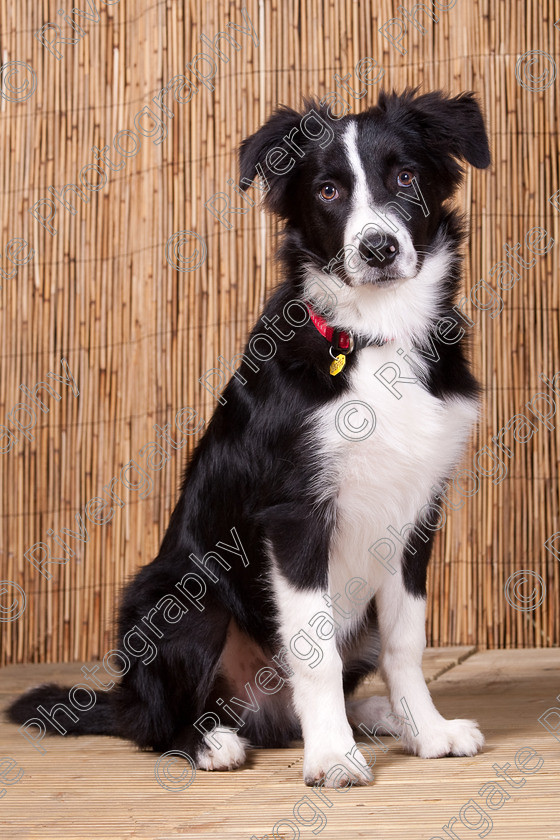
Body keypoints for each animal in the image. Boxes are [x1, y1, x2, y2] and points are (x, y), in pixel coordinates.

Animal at [8, 88, 490, 784]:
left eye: (405, 178)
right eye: (327, 190)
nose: (377, 248)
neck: (375, 337)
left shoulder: (417, 512)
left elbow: (407, 640)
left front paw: (426, 730)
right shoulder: (295, 514)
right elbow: (314, 649)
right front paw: (333, 757)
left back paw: (373, 715)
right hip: (183, 596)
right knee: (152, 723)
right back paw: (211, 741)